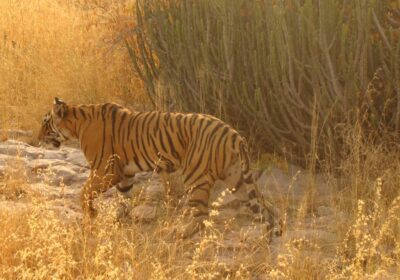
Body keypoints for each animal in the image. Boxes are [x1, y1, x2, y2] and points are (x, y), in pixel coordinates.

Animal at [39, 97, 276, 237]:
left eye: (45, 122)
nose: (38, 138)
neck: (77, 123)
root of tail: (234, 134)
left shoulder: (105, 170)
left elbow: (83, 193)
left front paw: (92, 214)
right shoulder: (124, 174)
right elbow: (124, 198)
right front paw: (118, 218)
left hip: (196, 177)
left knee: (202, 215)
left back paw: (179, 233)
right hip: (237, 179)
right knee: (265, 208)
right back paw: (271, 236)